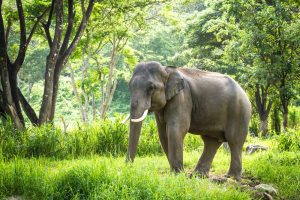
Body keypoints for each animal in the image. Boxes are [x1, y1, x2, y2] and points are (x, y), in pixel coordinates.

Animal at [123, 61, 252, 180]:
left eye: (151, 88)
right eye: (129, 86)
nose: (129, 168)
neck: (167, 69)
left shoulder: (182, 97)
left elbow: (176, 129)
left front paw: (177, 175)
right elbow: (163, 133)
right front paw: (177, 173)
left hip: (239, 111)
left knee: (234, 140)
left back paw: (231, 177)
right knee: (211, 141)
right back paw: (198, 176)